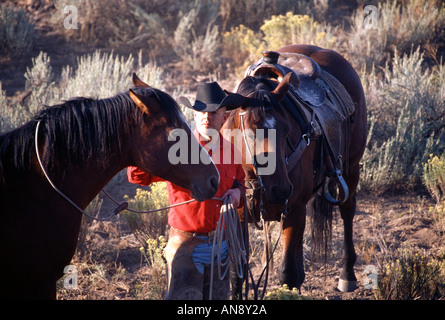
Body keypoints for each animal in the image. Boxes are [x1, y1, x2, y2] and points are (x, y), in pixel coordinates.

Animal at [220, 45, 366, 296]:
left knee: (347, 210)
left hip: (351, 167)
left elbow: (286, 273)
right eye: (249, 133)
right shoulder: (237, 214)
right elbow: (237, 275)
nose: (280, 190)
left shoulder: (293, 209)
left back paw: (347, 275)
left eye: (286, 130)